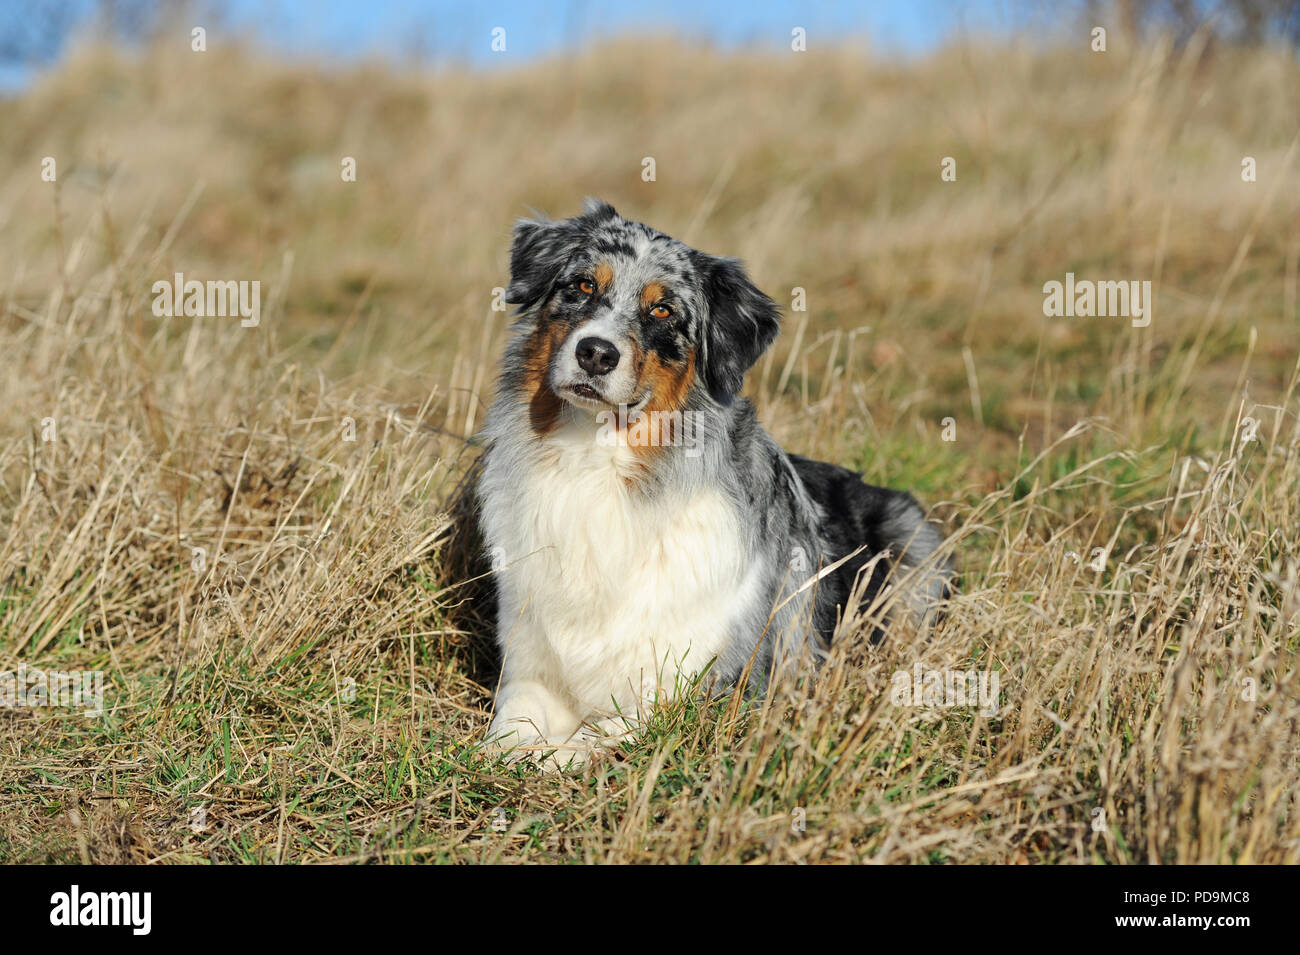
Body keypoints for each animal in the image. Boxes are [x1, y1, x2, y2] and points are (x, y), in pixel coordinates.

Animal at [473, 201, 951, 769]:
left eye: (663, 311)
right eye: (583, 285)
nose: (595, 353)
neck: (599, 462)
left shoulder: (702, 691)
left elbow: (589, 738)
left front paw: (550, 757)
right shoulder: (530, 668)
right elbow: (509, 730)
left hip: (913, 540)